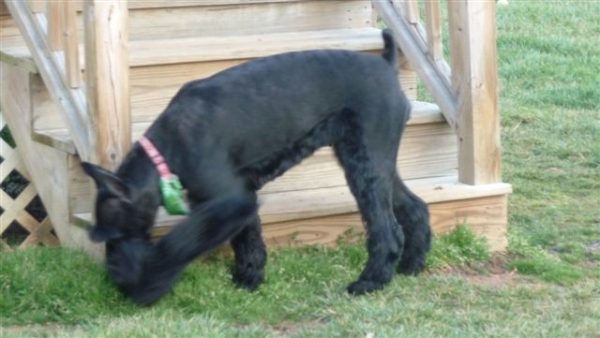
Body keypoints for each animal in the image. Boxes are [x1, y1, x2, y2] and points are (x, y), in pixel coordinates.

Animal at [83, 28, 432, 304]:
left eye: (113, 235)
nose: (115, 277)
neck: (168, 147)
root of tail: (386, 63)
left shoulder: (229, 200)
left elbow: (181, 242)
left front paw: (147, 284)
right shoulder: (236, 198)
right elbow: (247, 238)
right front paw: (247, 279)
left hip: (366, 166)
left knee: (387, 229)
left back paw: (369, 283)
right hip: (373, 160)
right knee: (414, 206)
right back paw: (411, 266)